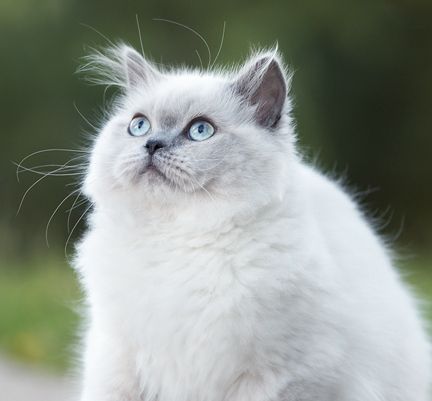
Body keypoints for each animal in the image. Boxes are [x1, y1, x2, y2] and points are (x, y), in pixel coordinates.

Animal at [76, 44, 430, 400]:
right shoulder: (118, 361)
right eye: (139, 126)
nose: (152, 144)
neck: (177, 238)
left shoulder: (282, 375)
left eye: (200, 130)